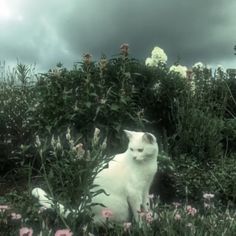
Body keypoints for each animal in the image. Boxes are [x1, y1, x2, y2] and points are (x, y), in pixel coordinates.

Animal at [31, 130, 159, 224]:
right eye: (131, 149)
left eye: (140, 150)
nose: (134, 157)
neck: (147, 164)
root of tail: (83, 207)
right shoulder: (133, 192)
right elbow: (138, 211)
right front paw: (142, 226)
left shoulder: (145, 189)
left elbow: (146, 205)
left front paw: (149, 218)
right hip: (119, 207)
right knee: (97, 222)